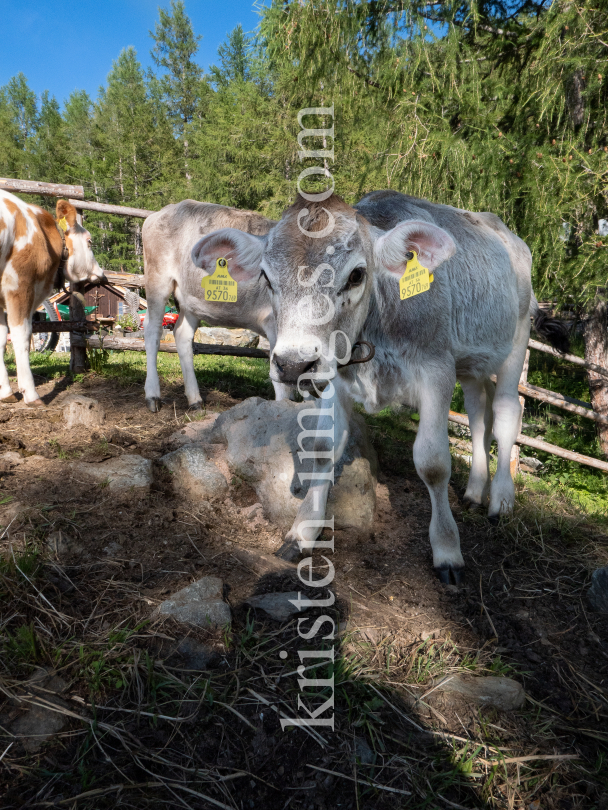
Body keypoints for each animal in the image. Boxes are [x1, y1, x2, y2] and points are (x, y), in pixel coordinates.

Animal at [0, 189, 104, 404]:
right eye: (89, 242)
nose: (102, 273)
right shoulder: (19, 285)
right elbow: (21, 336)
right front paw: (31, 394)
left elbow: (0, 340)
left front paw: (5, 392)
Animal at [142, 196, 284, 410]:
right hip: (157, 280)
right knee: (152, 331)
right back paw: (153, 395)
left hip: (191, 299)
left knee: (182, 334)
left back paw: (195, 399)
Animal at [191, 189, 568, 580]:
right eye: (266, 277)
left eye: (357, 275)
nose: (294, 364)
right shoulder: (334, 375)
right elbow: (323, 447)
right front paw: (303, 530)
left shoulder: (436, 371)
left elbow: (433, 463)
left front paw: (447, 549)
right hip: (471, 364)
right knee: (479, 414)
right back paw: (475, 491)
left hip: (517, 340)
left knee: (507, 411)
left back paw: (501, 500)